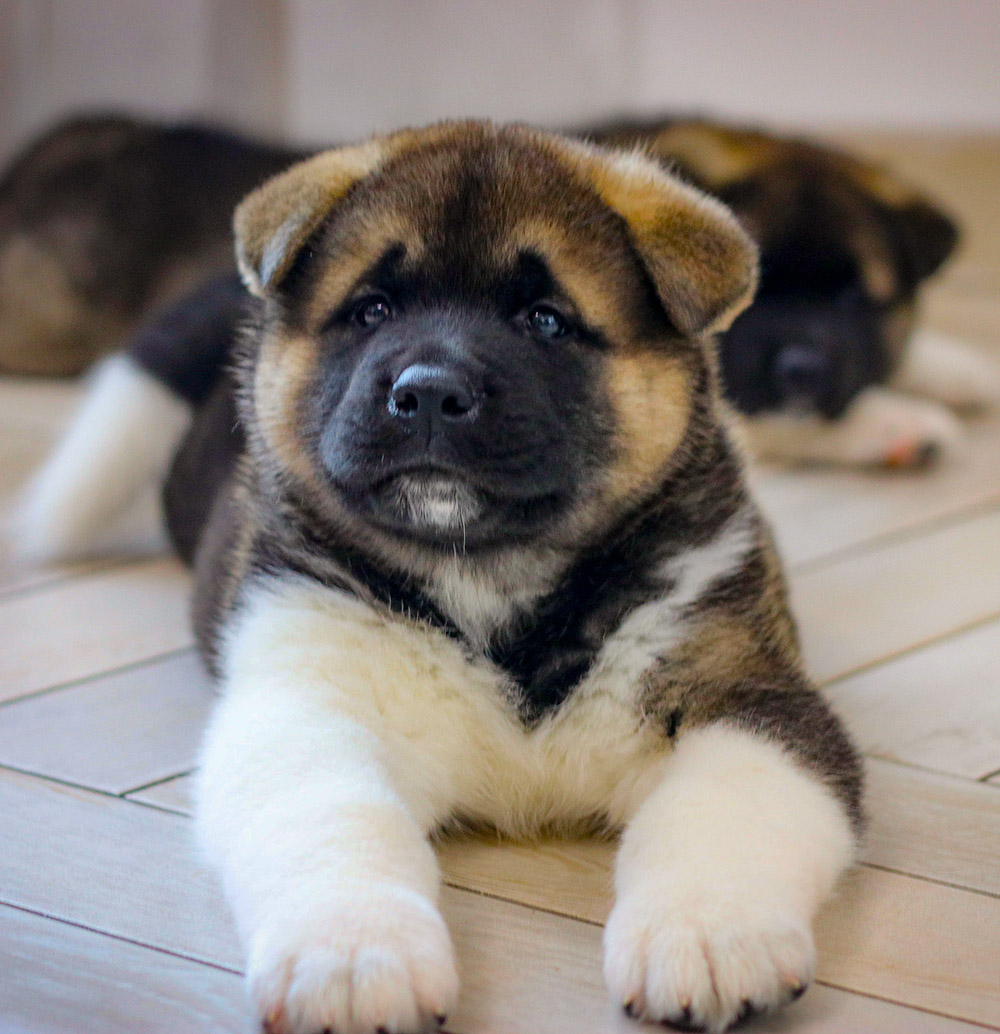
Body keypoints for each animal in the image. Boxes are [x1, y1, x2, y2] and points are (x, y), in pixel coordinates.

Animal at [15, 123, 864, 1034]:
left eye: (544, 319)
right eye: (372, 311)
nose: (427, 392)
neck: (491, 573)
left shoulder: (750, 699)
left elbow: (721, 812)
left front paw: (708, 933)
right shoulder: (308, 699)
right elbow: (338, 822)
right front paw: (355, 955)